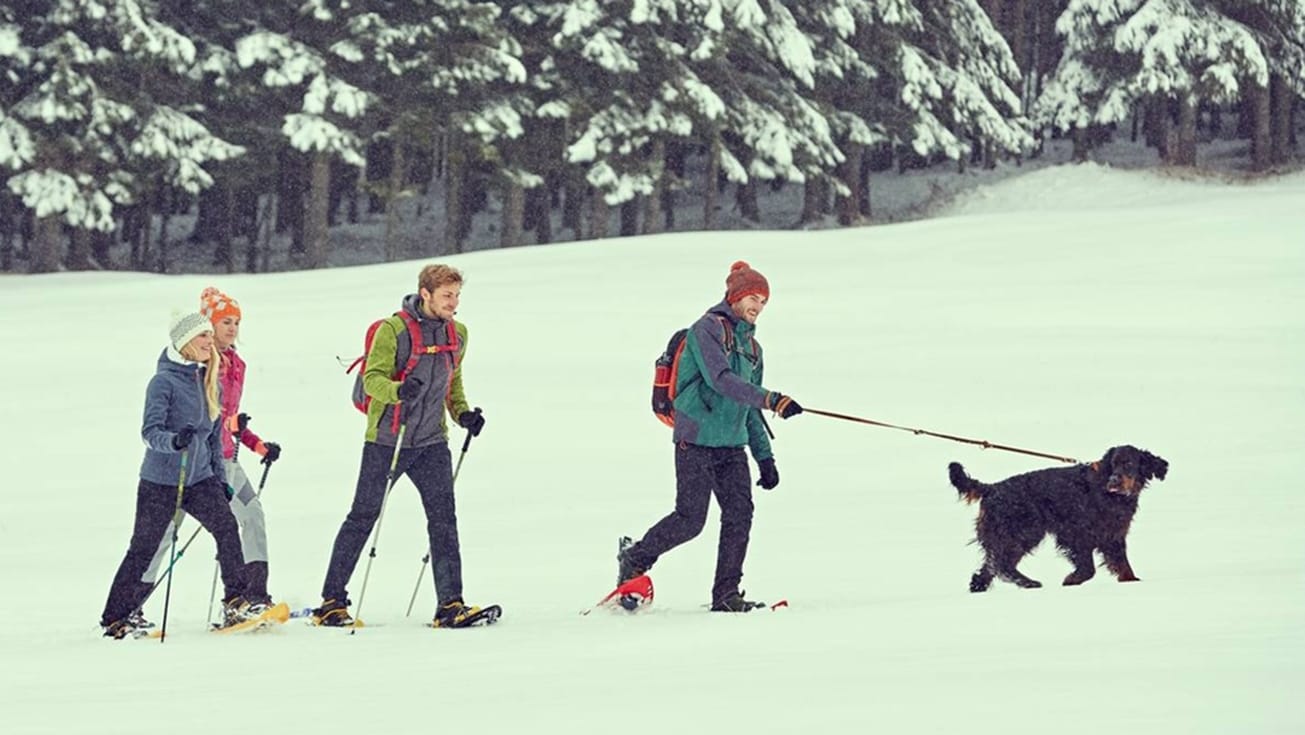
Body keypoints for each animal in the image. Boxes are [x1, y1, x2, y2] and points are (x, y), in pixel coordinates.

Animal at [950, 446, 1174, 595]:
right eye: (1113, 464)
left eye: (1129, 464)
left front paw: (1132, 582)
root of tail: (992, 488)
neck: (1110, 495)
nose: (1114, 480)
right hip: (1024, 531)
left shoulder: (1113, 536)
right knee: (1001, 564)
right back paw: (1029, 583)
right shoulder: (1076, 534)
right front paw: (1071, 580)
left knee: (992, 564)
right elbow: (1088, 569)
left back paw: (979, 586)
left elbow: (1123, 565)